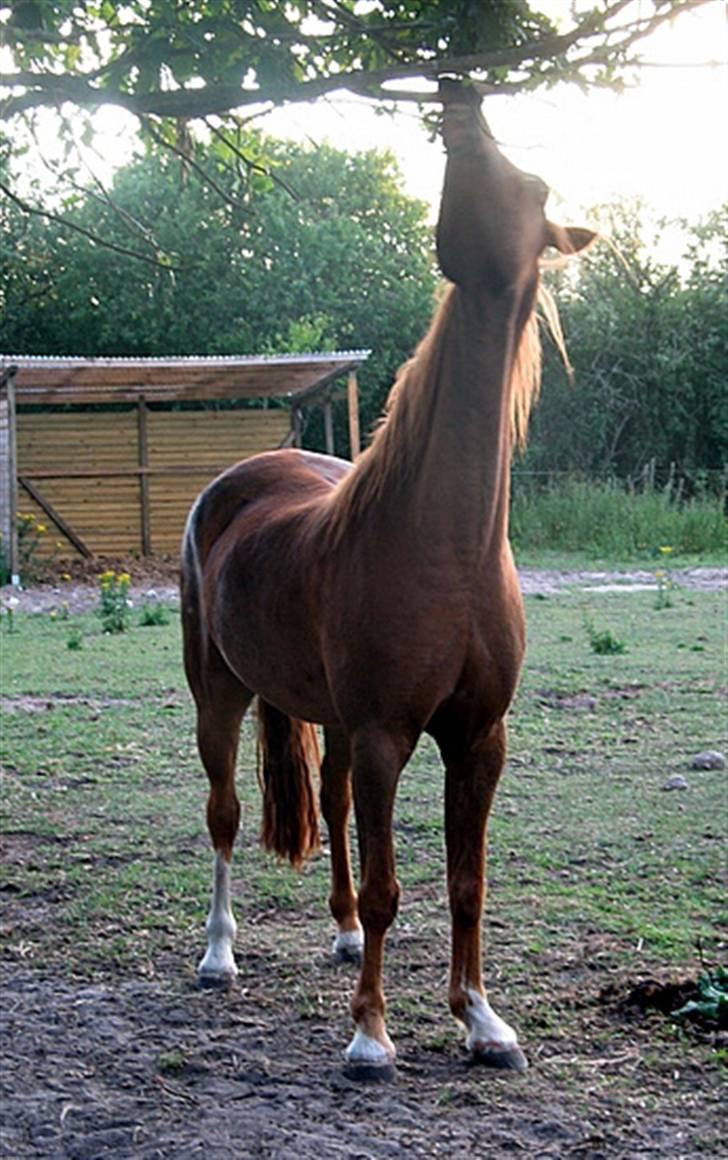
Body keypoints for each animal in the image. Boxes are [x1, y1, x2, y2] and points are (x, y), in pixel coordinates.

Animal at [179, 84, 593, 1076]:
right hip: (218, 693)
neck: (445, 542)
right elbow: (387, 889)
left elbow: (465, 882)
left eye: (529, 186)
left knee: (325, 807)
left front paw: (480, 1019)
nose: (458, 101)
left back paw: (333, 937)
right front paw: (370, 1036)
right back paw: (218, 952)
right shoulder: (384, 736)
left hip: (325, 715)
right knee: (224, 814)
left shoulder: (478, 738)